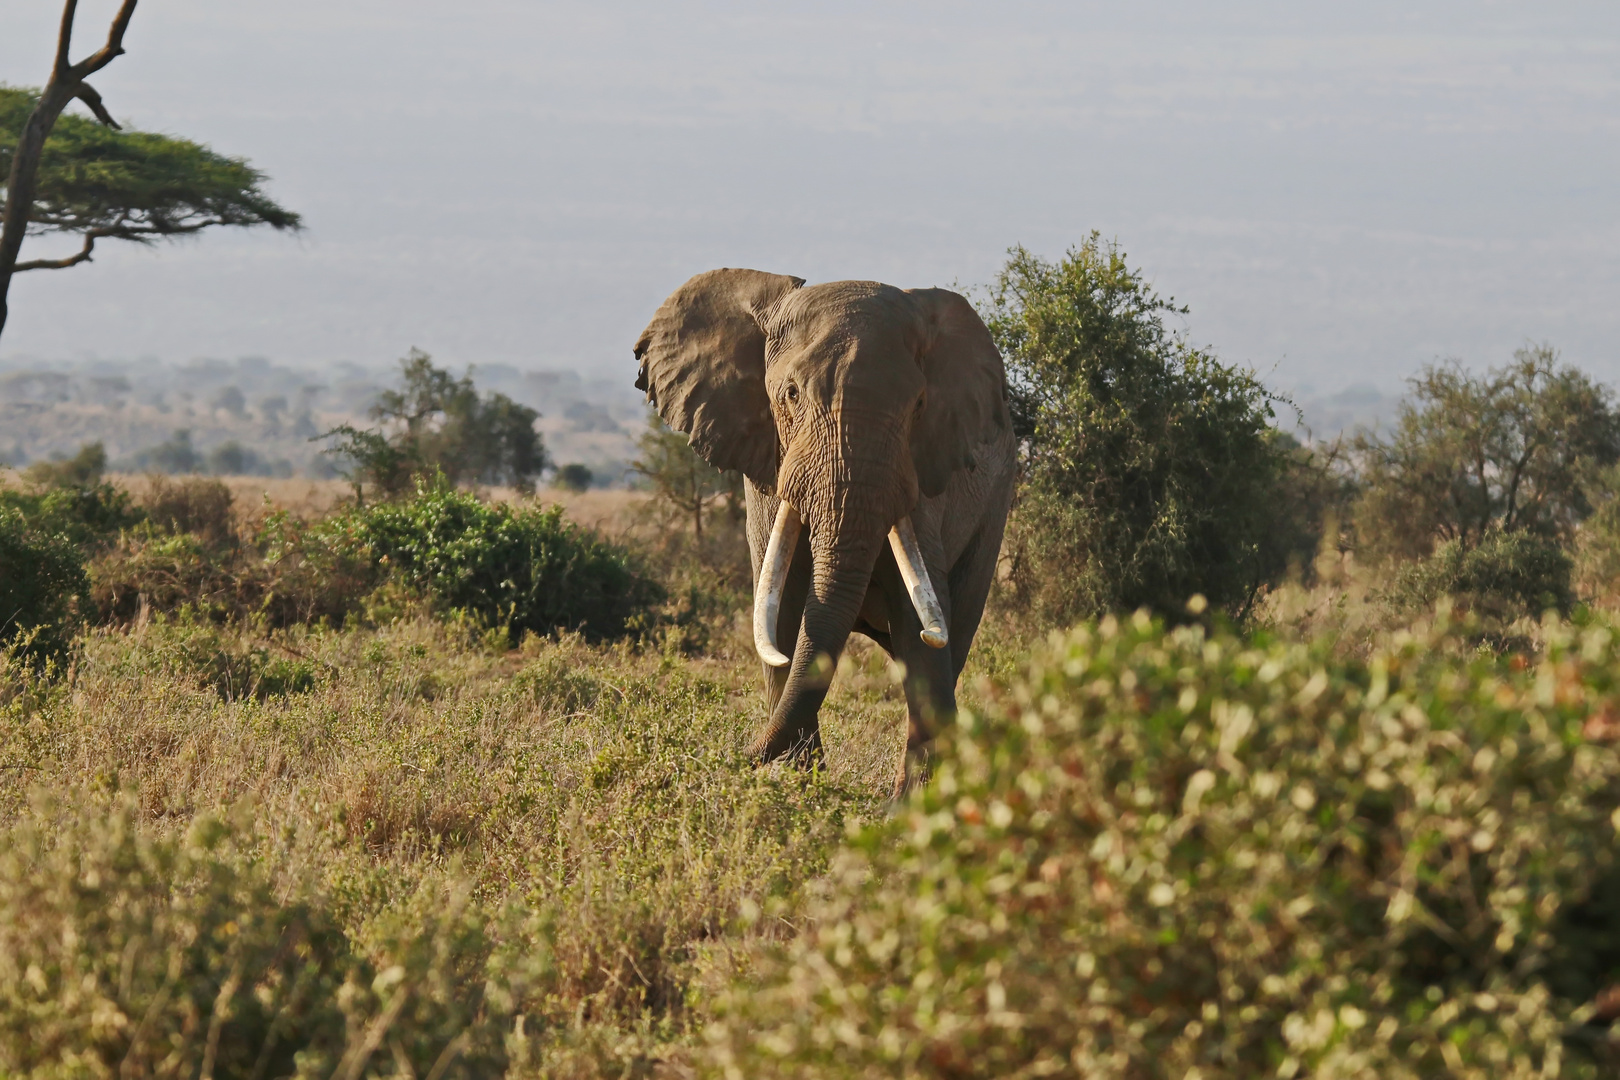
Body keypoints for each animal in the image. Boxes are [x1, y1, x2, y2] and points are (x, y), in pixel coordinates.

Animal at [631, 268, 1010, 793]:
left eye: (918, 405)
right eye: (791, 394)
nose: (709, 762)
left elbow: (919, 620)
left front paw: (913, 806)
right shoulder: (767, 469)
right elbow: (783, 611)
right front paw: (799, 789)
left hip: (994, 505)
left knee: (954, 627)